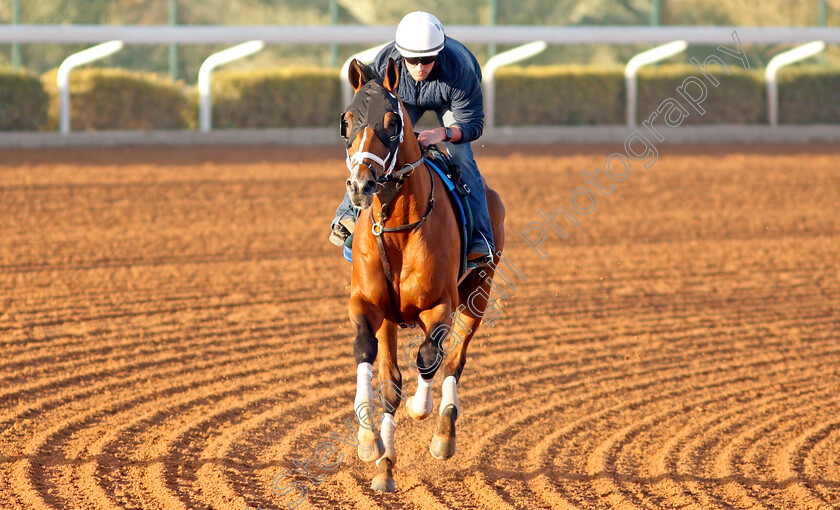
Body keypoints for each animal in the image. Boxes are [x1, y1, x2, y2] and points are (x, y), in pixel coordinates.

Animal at [342, 57, 506, 492]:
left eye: (392, 122)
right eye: (347, 121)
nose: (361, 184)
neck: (397, 229)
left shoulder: (440, 305)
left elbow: (430, 357)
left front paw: (421, 408)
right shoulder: (368, 305)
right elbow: (374, 364)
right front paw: (373, 448)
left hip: (477, 295)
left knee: (454, 360)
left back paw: (443, 434)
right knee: (396, 376)